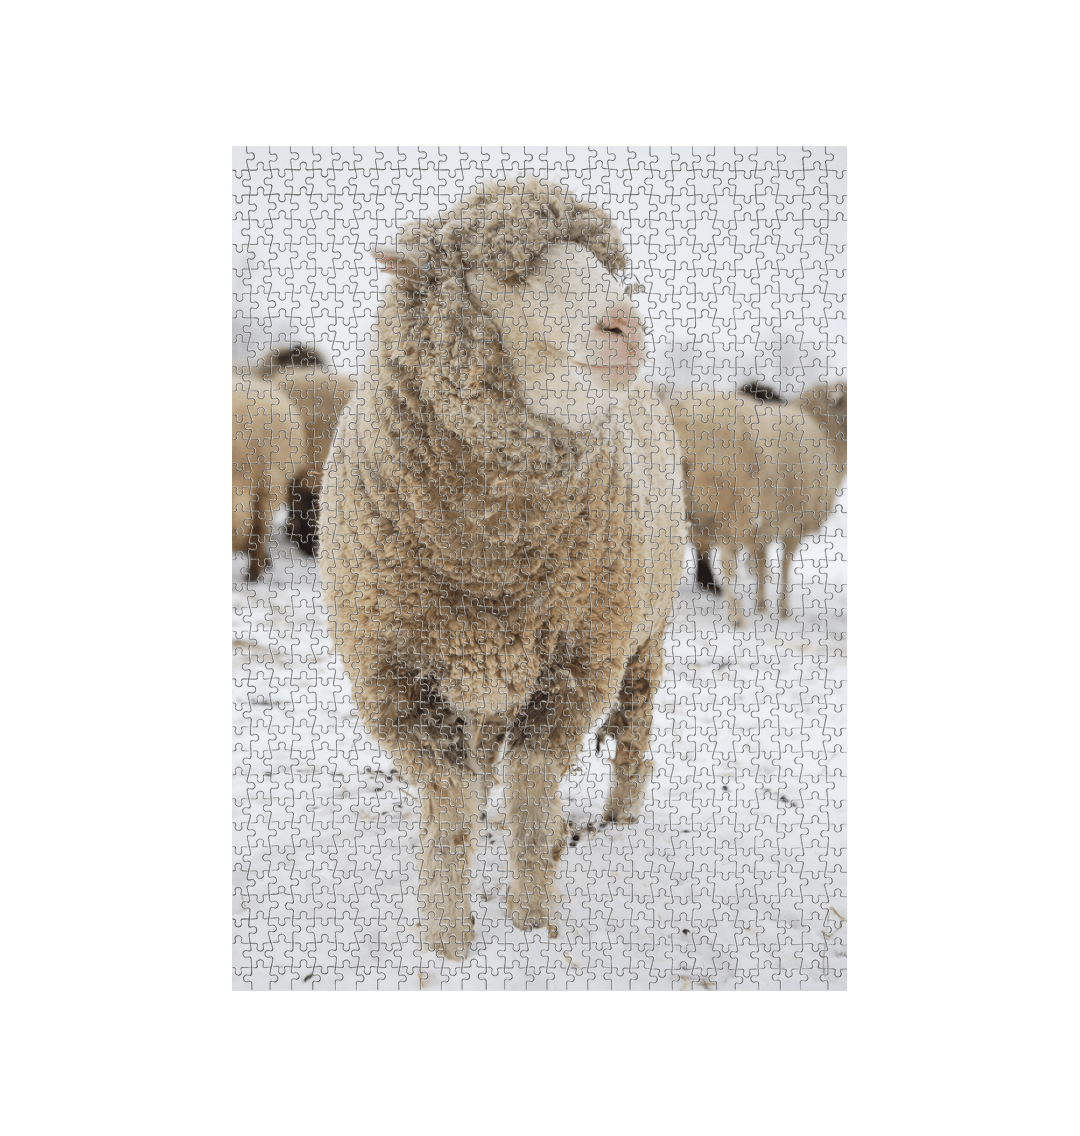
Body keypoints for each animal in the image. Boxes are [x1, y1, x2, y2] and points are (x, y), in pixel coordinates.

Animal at [318, 179, 685, 958]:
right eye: (509, 276)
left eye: (607, 264)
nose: (626, 325)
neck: (489, 559)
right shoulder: (391, 677)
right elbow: (451, 803)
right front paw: (448, 936)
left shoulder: (580, 665)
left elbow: (533, 792)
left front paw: (532, 921)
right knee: (482, 756)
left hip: (645, 632)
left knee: (635, 722)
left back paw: (622, 814)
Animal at [669, 381, 847, 624]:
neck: (826, 429)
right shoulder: (794, 525)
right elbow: (786, 565)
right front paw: (784, 610)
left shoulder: (764, 528)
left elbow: (762, 563)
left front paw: (761, 605)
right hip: (731, 507)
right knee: (727, 564)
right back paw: (736, 616)